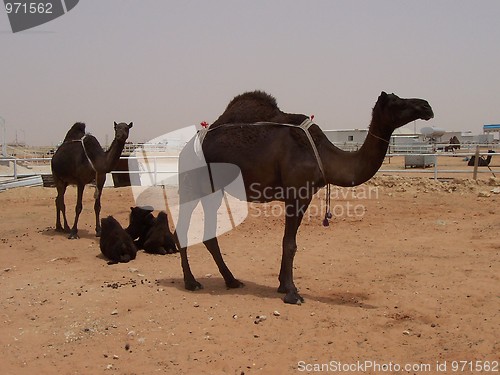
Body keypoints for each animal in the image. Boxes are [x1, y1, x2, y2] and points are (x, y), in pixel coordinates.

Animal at [176, 91, 434, 306]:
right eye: (396, 100)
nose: (427, 105)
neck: (324, 154)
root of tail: (183, 149)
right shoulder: (297, 192)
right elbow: (290, 244)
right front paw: (292, 293)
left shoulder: (304, 195)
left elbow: (289, 242)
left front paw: (283, 285)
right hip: (192, 185)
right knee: (183, 227)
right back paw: (191, 282)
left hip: (213, 189)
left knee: (210, 234)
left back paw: (231, 280)